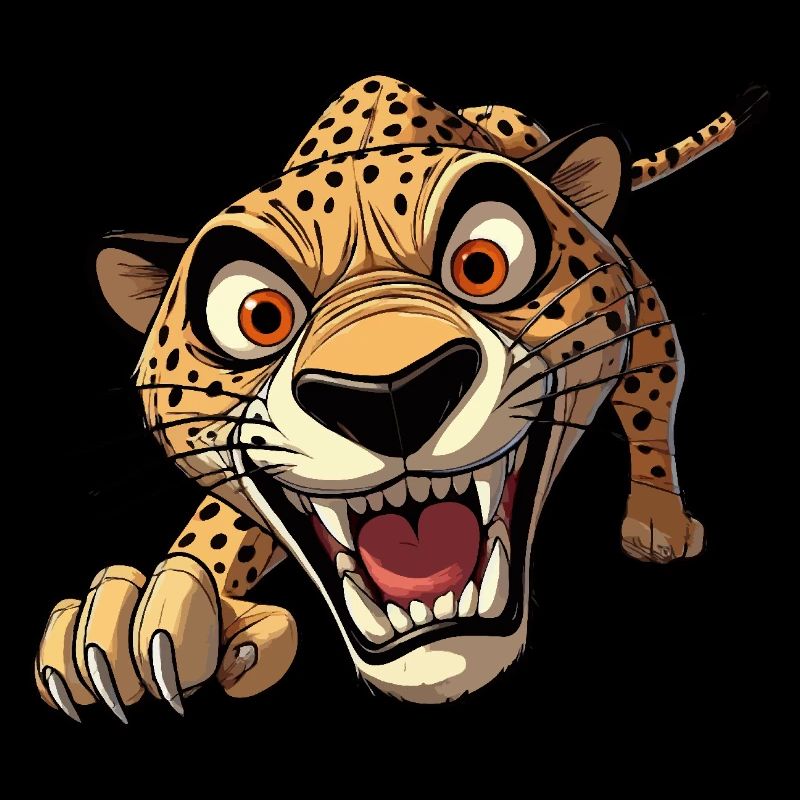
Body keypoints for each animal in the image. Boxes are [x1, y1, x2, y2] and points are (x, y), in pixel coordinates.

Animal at [34, 76, 768, 719]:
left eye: (483, 263)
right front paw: (140, 620)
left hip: (639, 296)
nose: (389, 394)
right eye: (258, 315)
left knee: (655, 381)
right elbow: (222, 527)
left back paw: (658, 521)